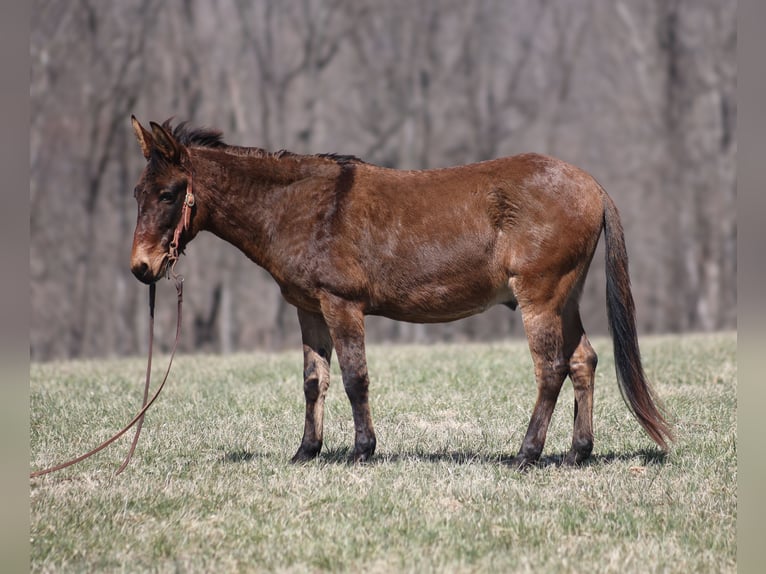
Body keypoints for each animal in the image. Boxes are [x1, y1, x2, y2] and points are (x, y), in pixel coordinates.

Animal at [129, 116, 672, 469]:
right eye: (137, 193)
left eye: (168, 194)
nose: (141, 268)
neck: (298, 207)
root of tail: (590, 185)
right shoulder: (309, 309)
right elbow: (314, 381)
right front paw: (306, 452)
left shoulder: (341, 304)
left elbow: (355, 379)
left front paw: (361, 451)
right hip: (566, 297)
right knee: (583, 361)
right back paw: (579, 452)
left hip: (541, 297)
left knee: (551, 369)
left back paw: (527, 454)